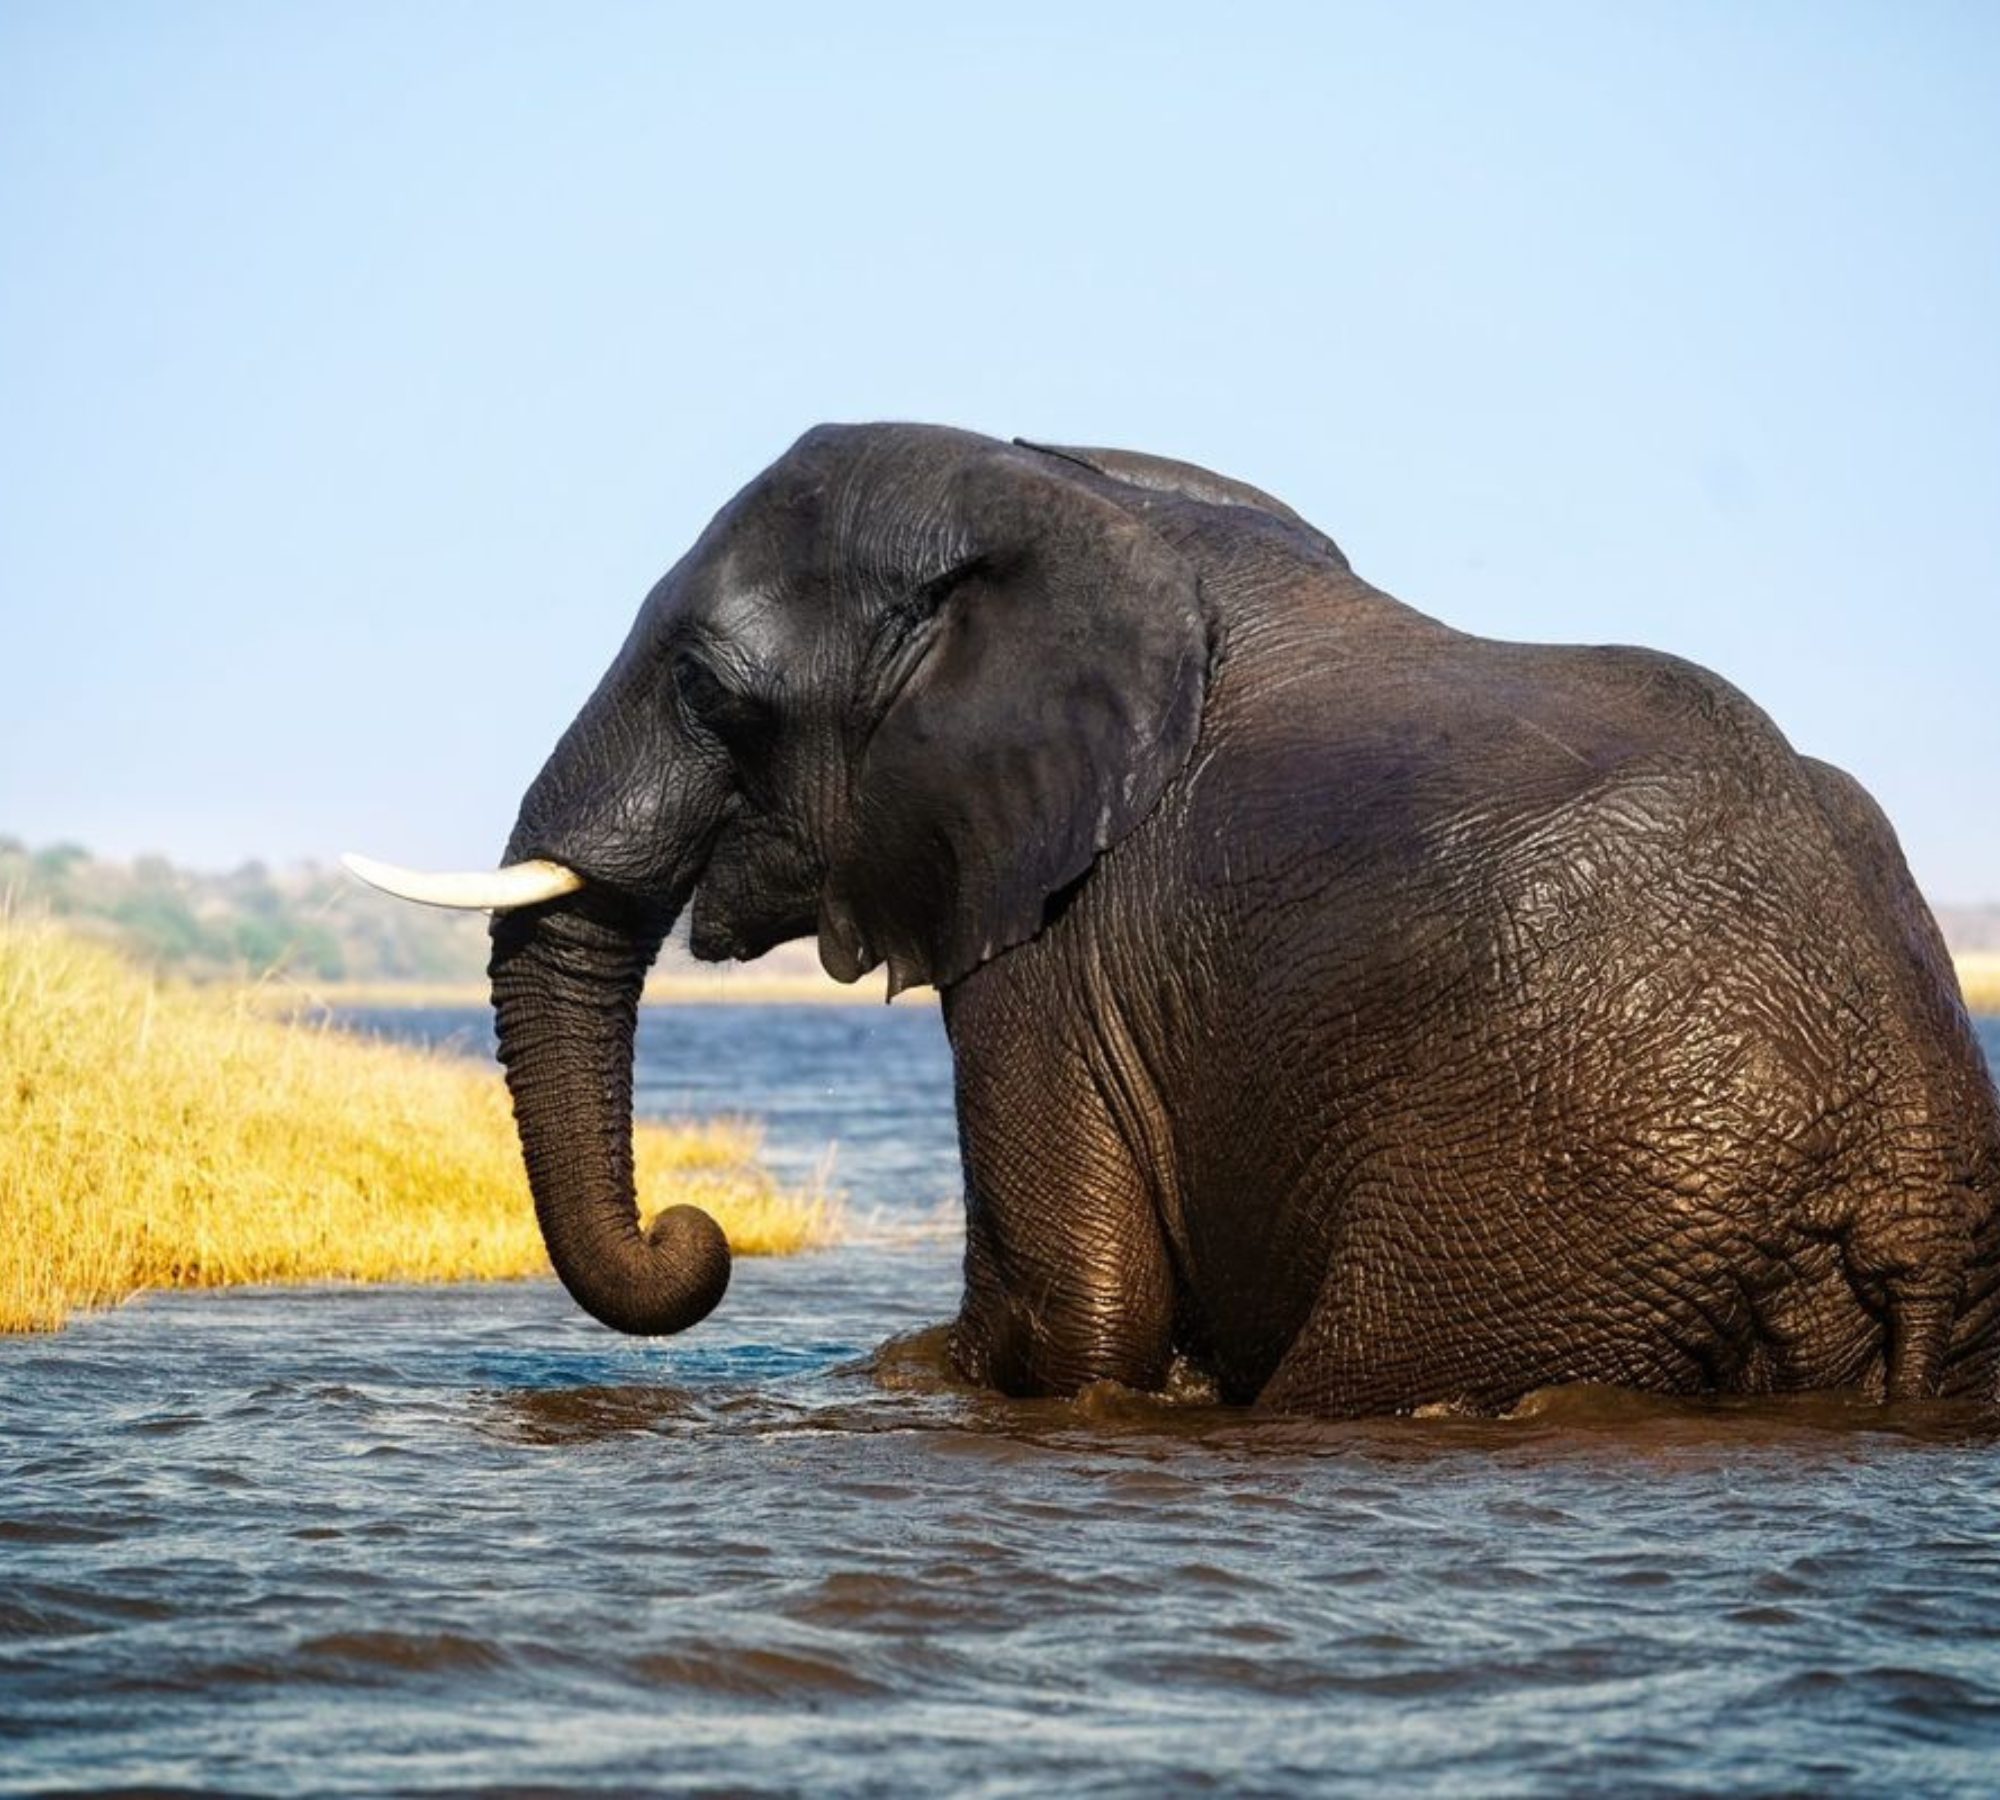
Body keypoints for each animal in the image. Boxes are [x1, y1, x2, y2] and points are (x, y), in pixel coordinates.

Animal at [351, 423, 2000, 1415]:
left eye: (705, 690)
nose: (694, 1233)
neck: (1068, 503)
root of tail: (1905, 1167)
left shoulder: (1062, 940)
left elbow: (1071, 1323)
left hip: (1565, 1196)